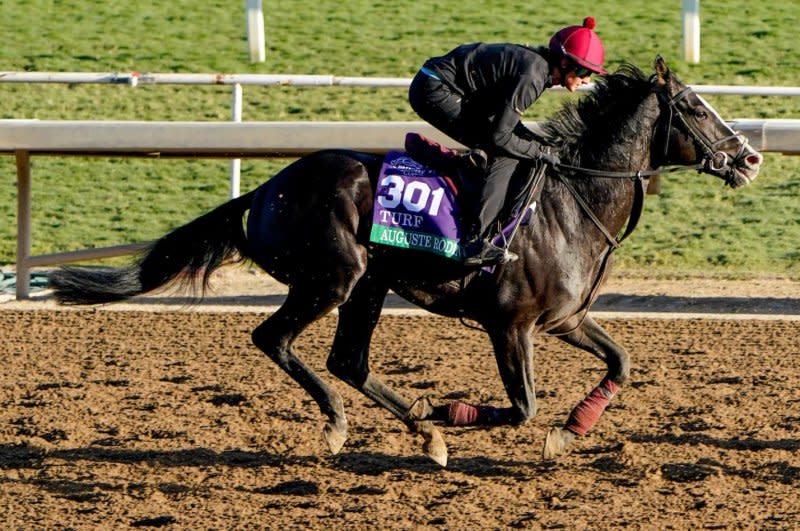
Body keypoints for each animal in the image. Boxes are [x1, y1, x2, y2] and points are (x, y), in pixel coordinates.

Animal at [48, 56, 764, 468]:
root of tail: (267, 188)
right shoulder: (511, 325)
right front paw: (451, 412)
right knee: (275, 339)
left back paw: (421, 432)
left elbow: (621, 361)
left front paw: (570, 431)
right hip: (333, 279)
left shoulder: (563, 319)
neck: (571, 199)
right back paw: (347, 423)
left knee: (349, 360)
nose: (750, 157)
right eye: (695, 108)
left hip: (370, 285)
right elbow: (523, 406)